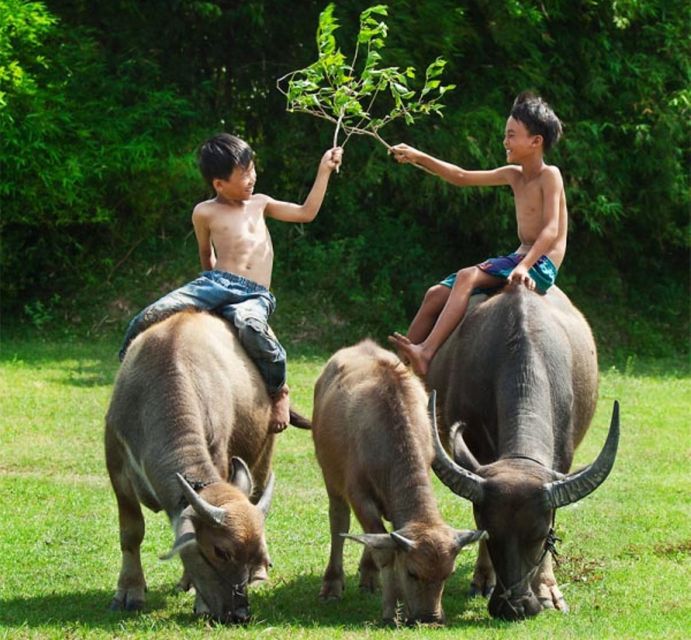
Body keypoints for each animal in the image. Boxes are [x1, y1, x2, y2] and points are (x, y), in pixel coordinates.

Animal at [104, 310, 282, 624]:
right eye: (220, 551)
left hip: (265, 450)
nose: (240, 614)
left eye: (258, 553)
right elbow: (131, 532)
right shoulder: (117, 465)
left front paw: (200, 601)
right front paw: (129, 591)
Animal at [314, 340, 486, 624]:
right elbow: (385, 552)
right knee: (339, 522)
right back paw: (332, 584)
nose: (430, 618)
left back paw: (368, 578)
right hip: (331, 479)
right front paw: (391, 608)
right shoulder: (359, 496)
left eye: (448, 575)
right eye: (412, 573)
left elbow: (385, 543)